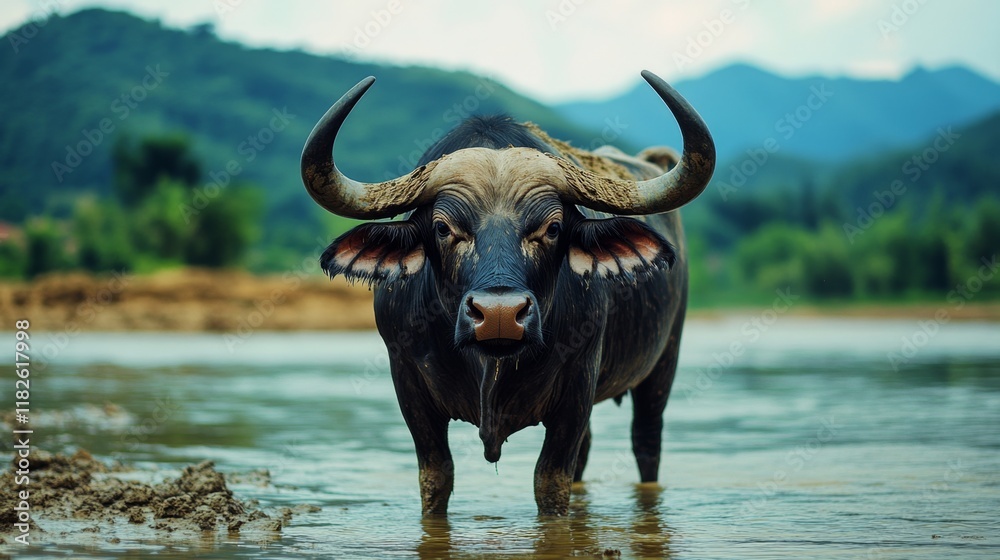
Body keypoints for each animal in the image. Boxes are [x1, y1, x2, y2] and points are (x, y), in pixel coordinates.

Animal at [302, 70, 715, 515]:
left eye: (552, 228)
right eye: (443, 227)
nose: (499, 315)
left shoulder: (577, 384)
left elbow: (550, 484)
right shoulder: (408, 382)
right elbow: (436, 479)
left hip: (664, 361)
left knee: (646, 442)